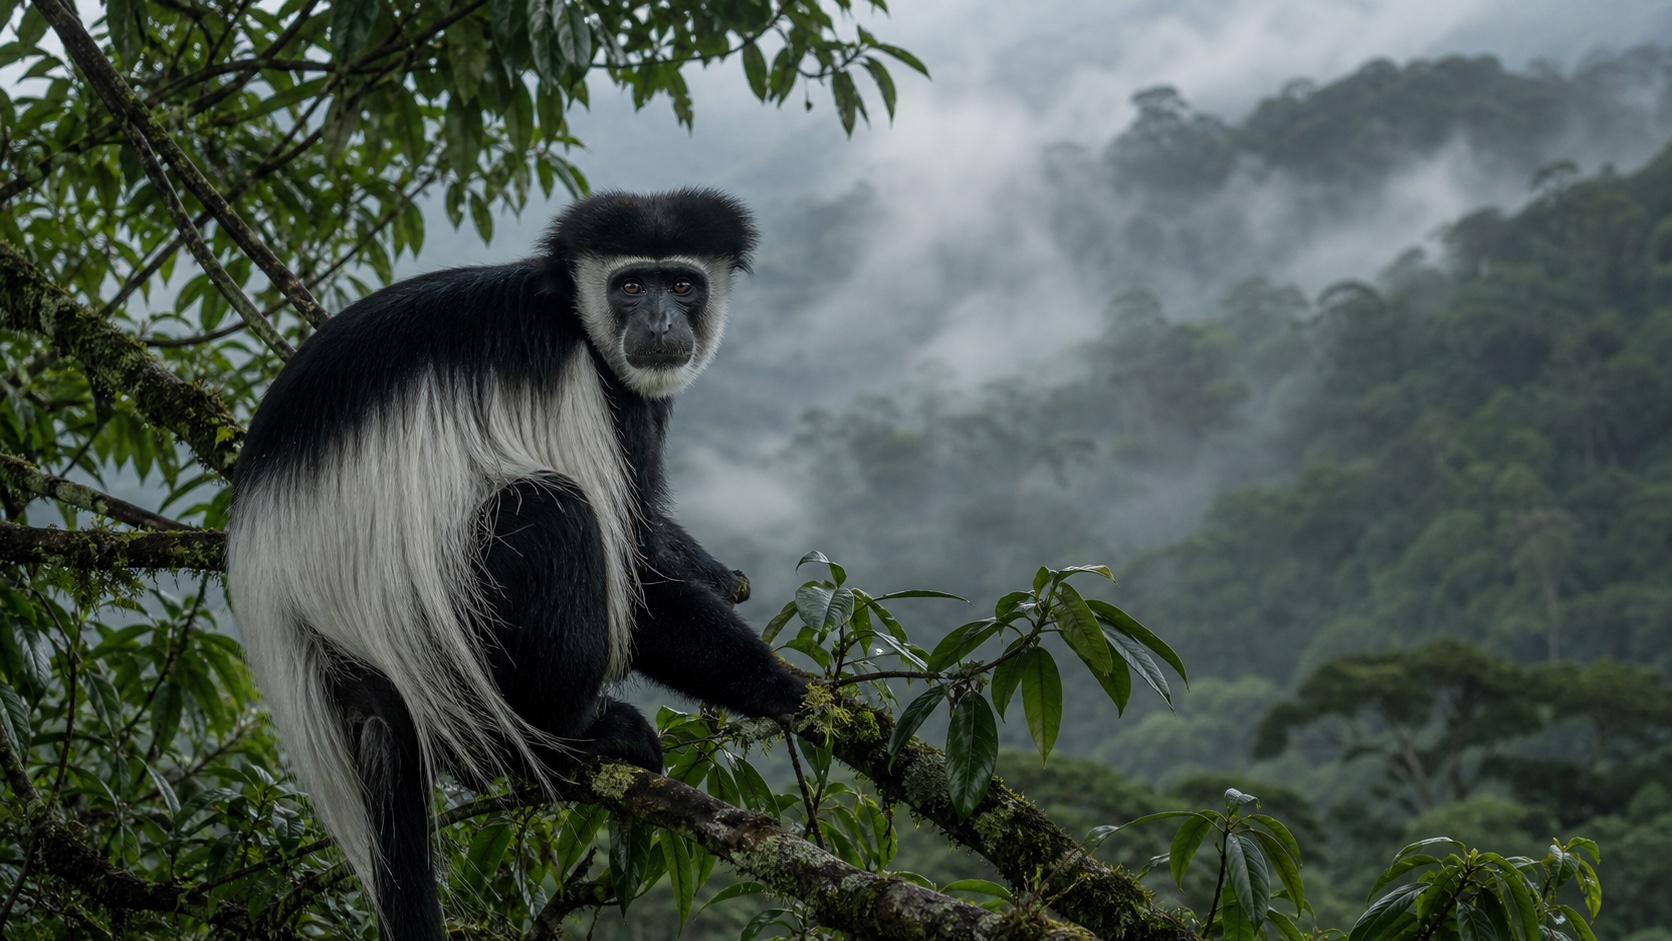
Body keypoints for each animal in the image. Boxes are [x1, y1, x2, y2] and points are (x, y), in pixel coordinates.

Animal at [225, 189, 807, 940]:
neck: (575, 317)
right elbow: (638, 576)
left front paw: (712, 569)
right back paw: (572, 737)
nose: (658, 323)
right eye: (630, 286)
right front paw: (785, 690)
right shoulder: (595, 393)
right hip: (449, 645)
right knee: (554, 512)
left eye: (682, 284)